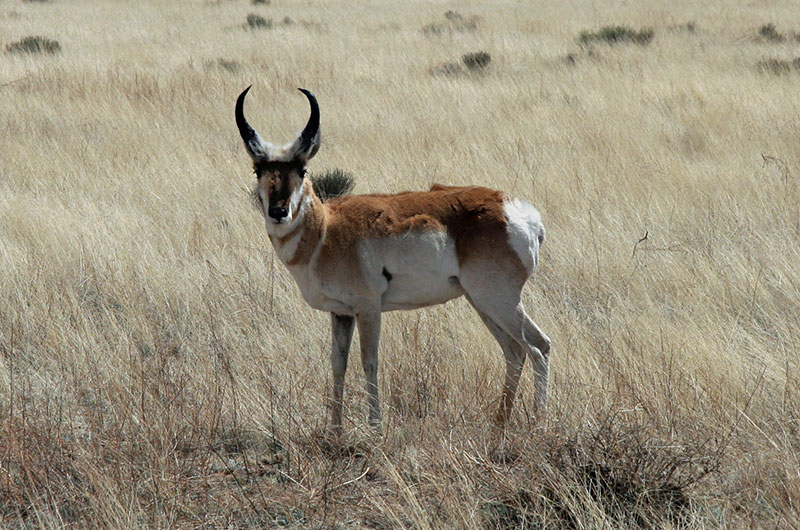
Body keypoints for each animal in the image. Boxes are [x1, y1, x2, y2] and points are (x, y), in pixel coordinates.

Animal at [234, 87, 552, 434]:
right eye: (258, 170)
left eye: (302, 169)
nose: (279, 212)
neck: (326, 230)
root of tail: (516, 211)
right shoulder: (340, 313)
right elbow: (337, 364)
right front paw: (335, 429)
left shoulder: (369, 308)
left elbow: (369, 361)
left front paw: (375, 427)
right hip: (482, 302)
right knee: (515, 351)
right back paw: (500, 423)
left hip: (498, 301)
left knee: (539, 346)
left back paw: (538, 423)